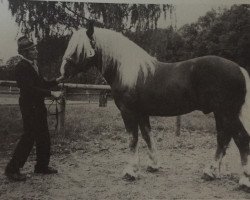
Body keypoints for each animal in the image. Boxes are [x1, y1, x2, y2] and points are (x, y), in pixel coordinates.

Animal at [59, 24, 250, 188]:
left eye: (79, 48)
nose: (62, 72)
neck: (128, 71)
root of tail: (239, 69)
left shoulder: (129, 112)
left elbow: (132, 139)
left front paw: (130, 172)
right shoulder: (142, 113)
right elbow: (147, 136)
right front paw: (153, 165)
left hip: (226, 113)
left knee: (240, 138)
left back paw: (244, 180)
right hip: (222, 114)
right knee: (224, 138)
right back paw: (210, 172)